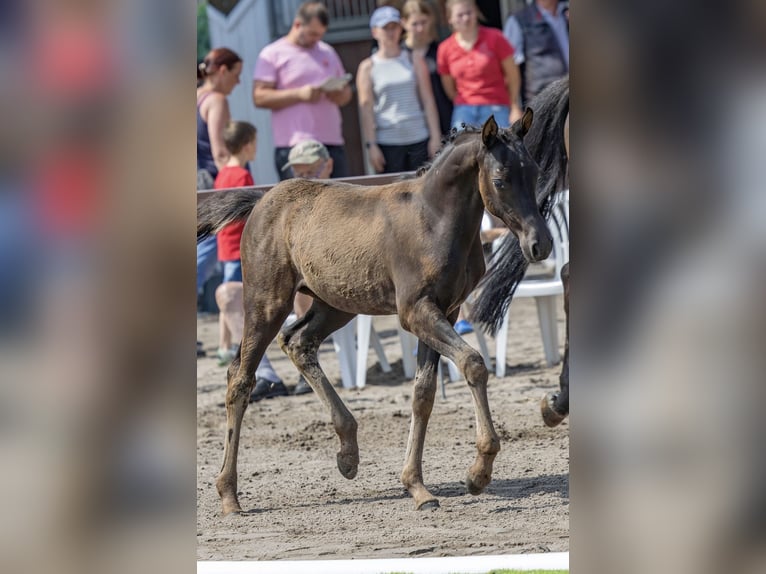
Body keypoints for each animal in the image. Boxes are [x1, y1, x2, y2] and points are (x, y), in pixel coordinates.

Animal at [197, 113, 553, 515]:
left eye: (535, 172)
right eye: (500, 180)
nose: (540, 244)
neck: (434, 219)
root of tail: (262, 199)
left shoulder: (445, 310)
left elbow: (424, 393)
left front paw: (417, 487)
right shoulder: (415, 311)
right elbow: (473, 362)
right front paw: (478, 472)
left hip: (336, 304)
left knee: (298, 342)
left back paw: (348, 452)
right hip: (267, 302)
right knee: (240, 378)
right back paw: (229, 494)